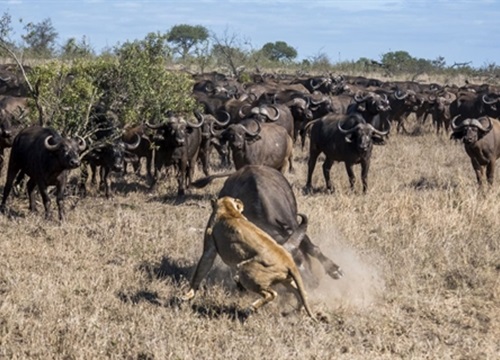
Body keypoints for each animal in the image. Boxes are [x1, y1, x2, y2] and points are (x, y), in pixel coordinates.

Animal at [183, 195, 316, 322]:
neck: (229, 209)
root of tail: (288, 260)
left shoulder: (210, 248)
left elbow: (200, 271)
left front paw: (188, 295)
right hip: (286, 280)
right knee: (302, 294)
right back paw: (292, 313)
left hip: (246, 272)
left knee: (272, 294)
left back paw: (250, 308)